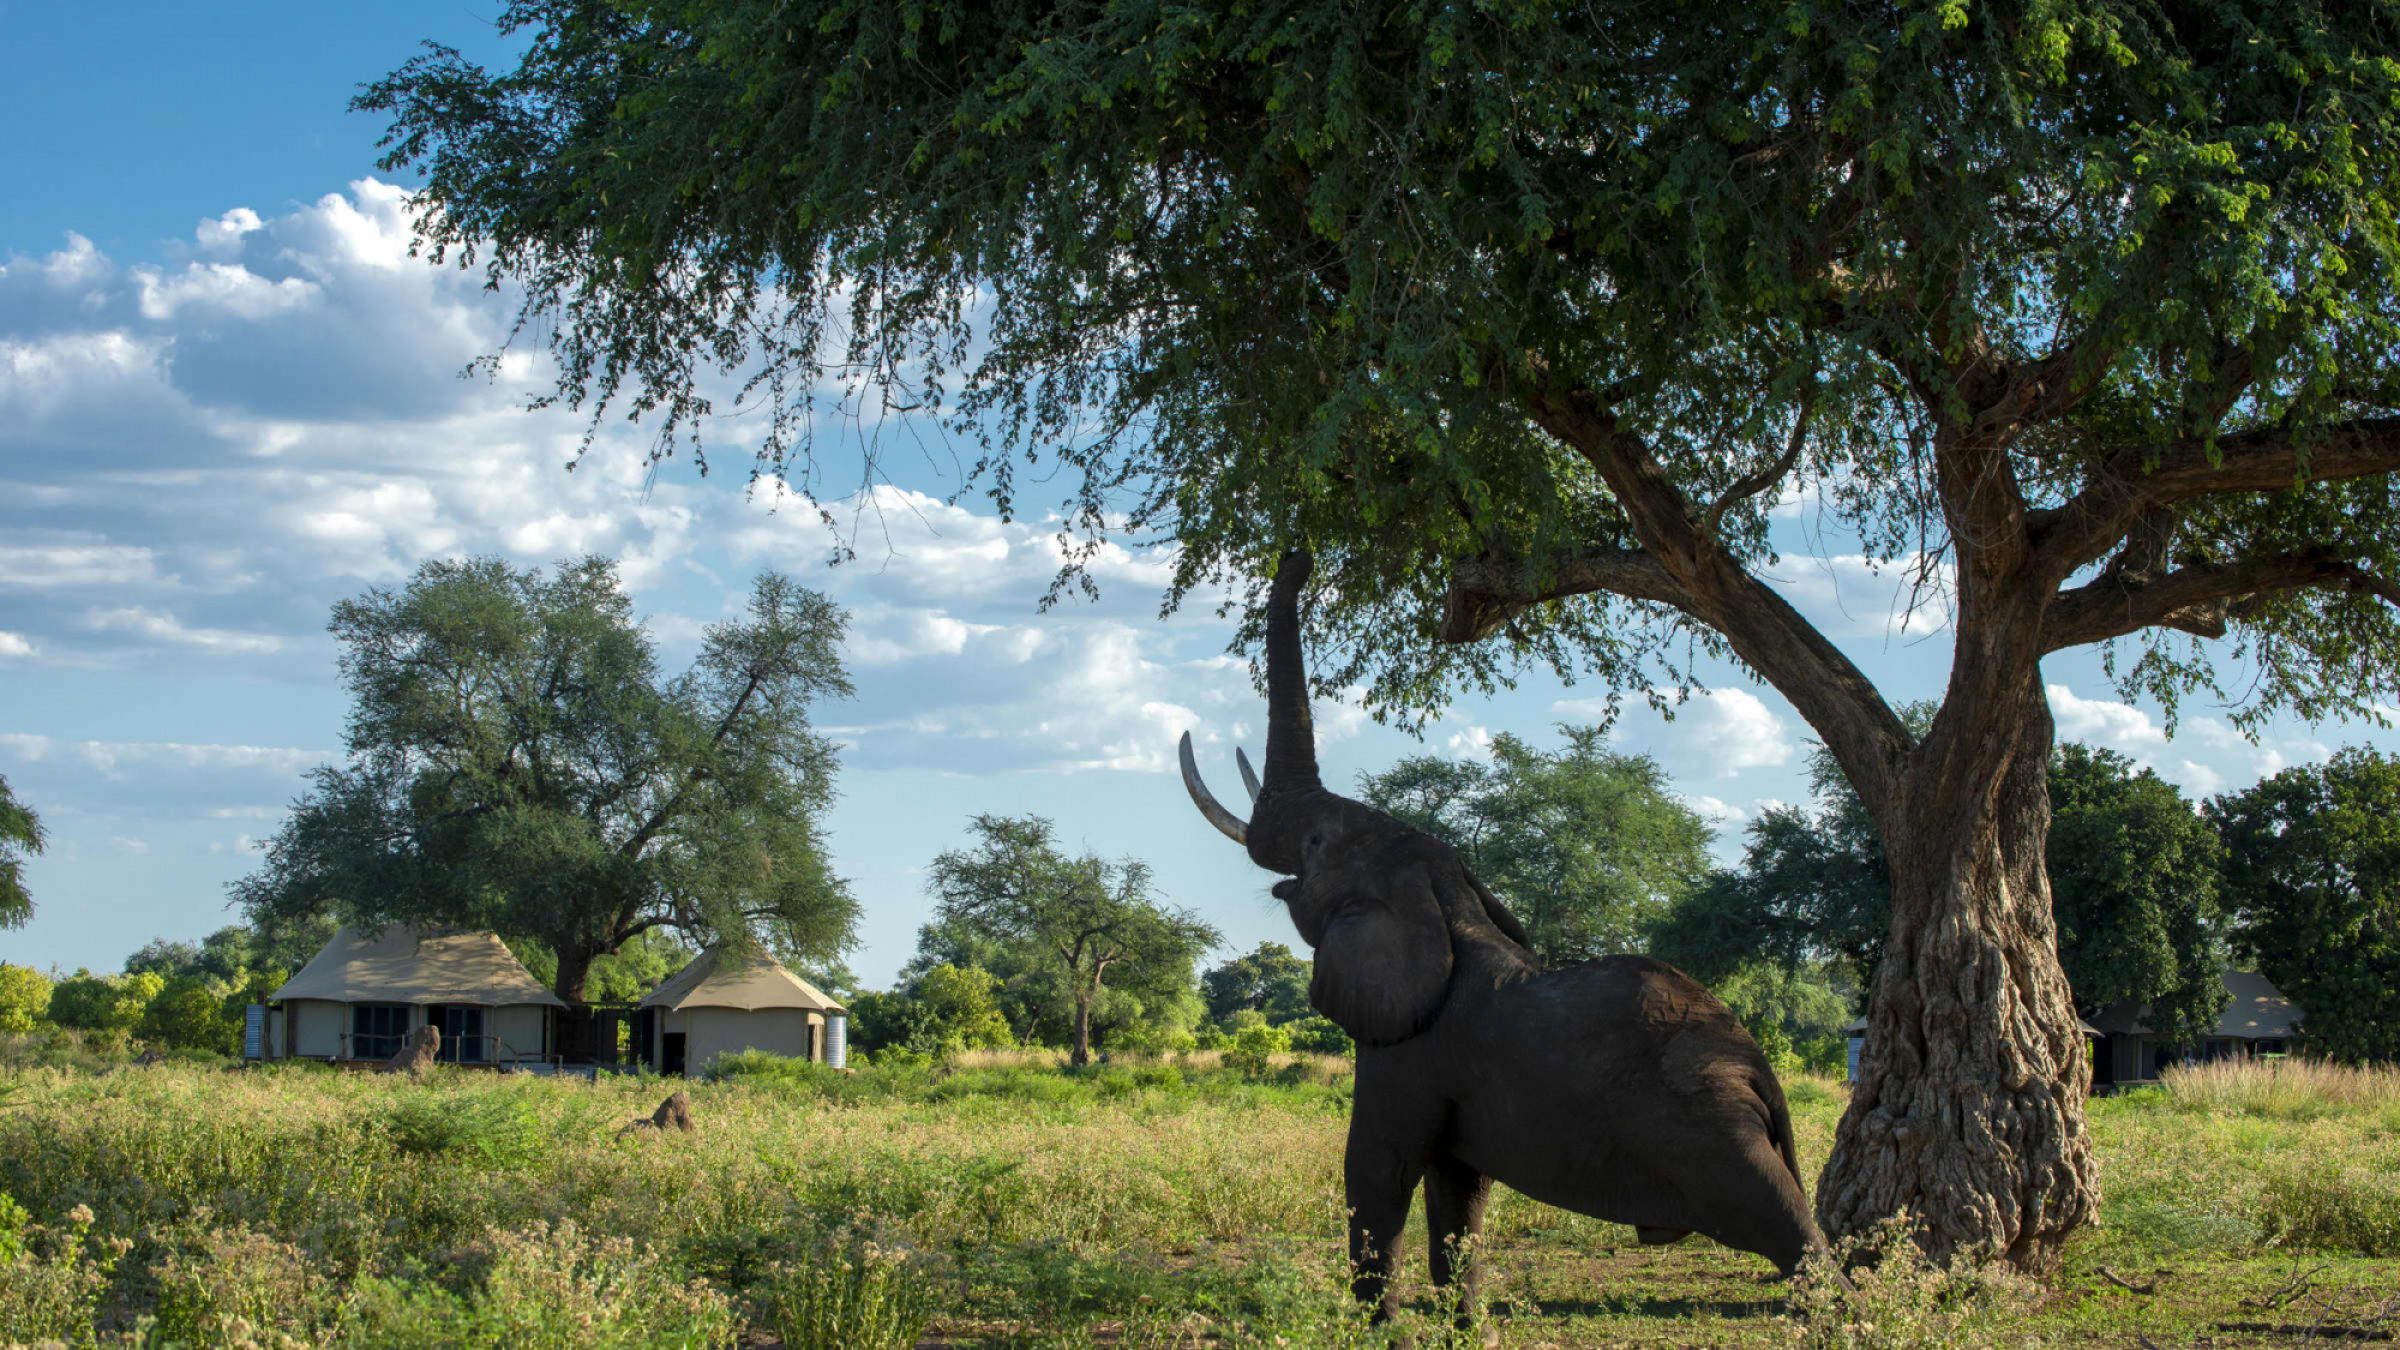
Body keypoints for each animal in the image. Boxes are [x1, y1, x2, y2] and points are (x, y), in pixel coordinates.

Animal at [1176, 550, 1814, 1325]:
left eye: (1320, 842)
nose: (1302, 554)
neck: (1445, 905)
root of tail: (1760, 1067)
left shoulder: (1410, 1051)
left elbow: (1378, 1167)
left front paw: (1377, 1325)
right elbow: (1460, 1189)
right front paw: (1460, 1323)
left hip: (1710, 1129)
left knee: (1788, 1230)